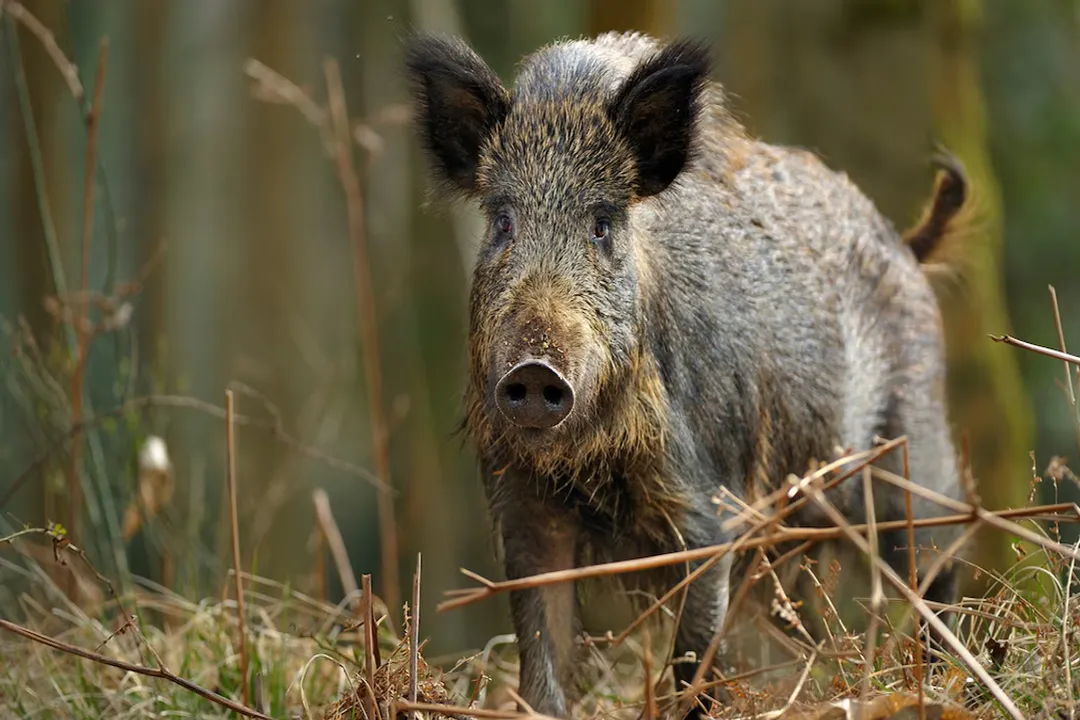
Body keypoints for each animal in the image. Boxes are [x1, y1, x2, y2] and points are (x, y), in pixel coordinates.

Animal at [404, 31, 966, 718]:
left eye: (602, 225)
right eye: (503, 222)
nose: (535, 369)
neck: (594, 464)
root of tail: (908, 247)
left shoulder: (707, 508)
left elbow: (694, 659)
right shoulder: (522, 505)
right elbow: (542, 656)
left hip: (914, 449)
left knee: (937, 561)